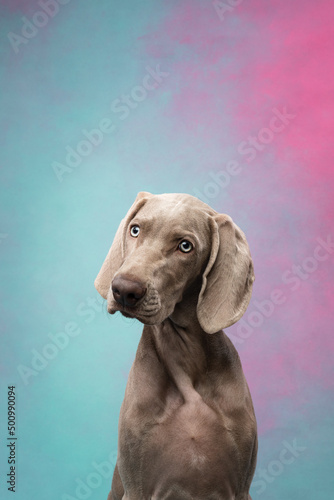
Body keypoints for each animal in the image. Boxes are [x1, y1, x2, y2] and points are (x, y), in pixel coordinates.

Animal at [95, 192, 258, 500]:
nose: (124, 290)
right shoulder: (136, 485)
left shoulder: (241, 487)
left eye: (185, 246)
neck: (184, 353)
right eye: (135, 230)